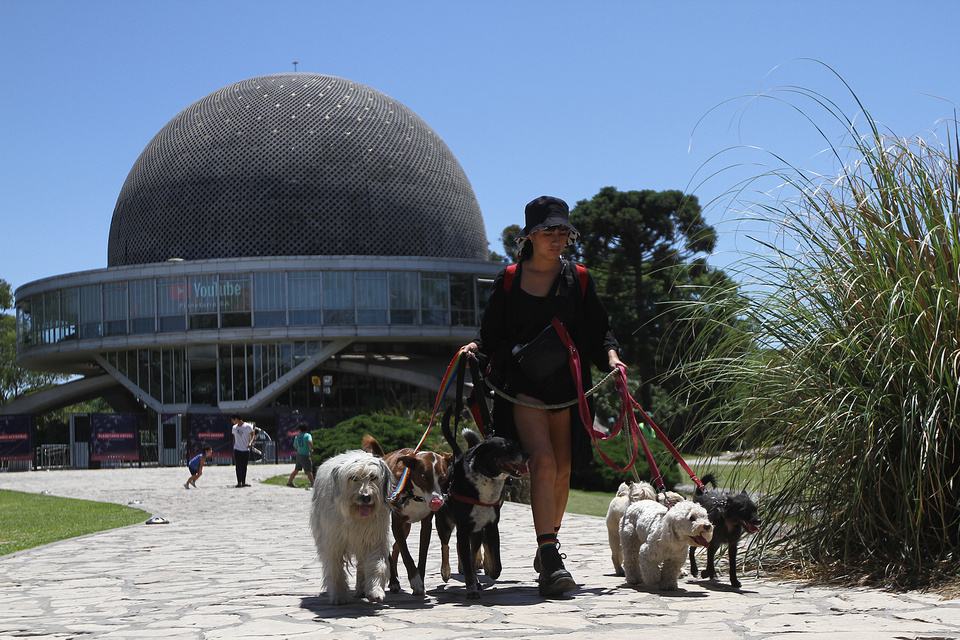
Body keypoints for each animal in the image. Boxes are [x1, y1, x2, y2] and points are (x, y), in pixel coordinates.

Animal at [312, 448, 394, 604]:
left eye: (373, 477)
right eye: (353, 478)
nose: (366, 497)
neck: (355, 517)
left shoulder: (375, 538)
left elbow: (377, 564)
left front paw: (375, 590)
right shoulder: (333, 542)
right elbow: (335, 569)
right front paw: (339, 596)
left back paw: (362, 589)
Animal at [360, 436, 454, 596]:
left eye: (442, 478)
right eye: (424, 478)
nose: (437, 501)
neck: (414, 494)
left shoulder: (426, 524)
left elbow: (422, 555)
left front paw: (420, 579)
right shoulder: (396, 523)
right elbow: (406, 554)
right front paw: (415, 581)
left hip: (407, 527)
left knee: (395, 547)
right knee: (391, 549)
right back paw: (393, 581)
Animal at [436, 410, 532, 600]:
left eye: (517, 445)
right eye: (506, 448)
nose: (527, 454)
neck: (487, 480)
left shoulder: (491, 526)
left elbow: (495, 564)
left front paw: (487, 575)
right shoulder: (464, 529)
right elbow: (466, 561)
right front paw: (471, 589)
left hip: (476, 533)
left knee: (471, 554)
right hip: (445, 524)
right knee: (445, 545)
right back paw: (446, 571)